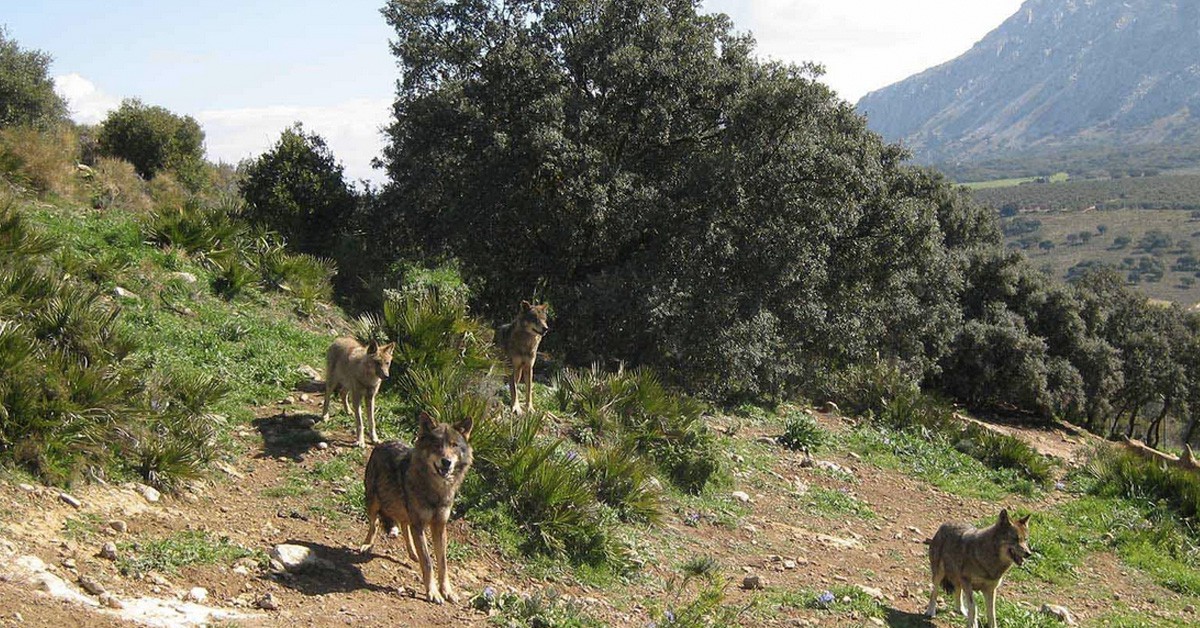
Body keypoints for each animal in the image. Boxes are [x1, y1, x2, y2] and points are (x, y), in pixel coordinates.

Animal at [360, 411, 474, 604]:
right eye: (436, 445)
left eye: (454, 445)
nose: (446, 462)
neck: (437, 491)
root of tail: (382, 443)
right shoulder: (419, 524)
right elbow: (427, 562)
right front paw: (433, 592)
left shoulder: (439, 526)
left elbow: (442, 563)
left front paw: (447, 591)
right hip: (374, 501)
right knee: (374, 524)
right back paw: (367, 545)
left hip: (404, 512)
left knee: (404, 525)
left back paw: (413, 553)